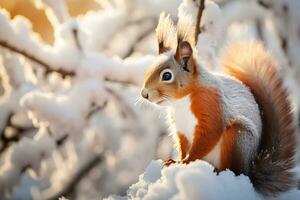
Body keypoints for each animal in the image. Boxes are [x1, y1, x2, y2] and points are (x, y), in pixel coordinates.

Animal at [141, 12, 300, 195]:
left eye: (166, 76)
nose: (144, 94)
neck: (180, 103)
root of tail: (250, 172)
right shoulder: (180, 128)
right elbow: (183, 144)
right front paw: (176, 161)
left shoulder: (210, 104)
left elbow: (209, 134)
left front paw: (186, 162)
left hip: (238, 137)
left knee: (234, 169)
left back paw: (220, 171)